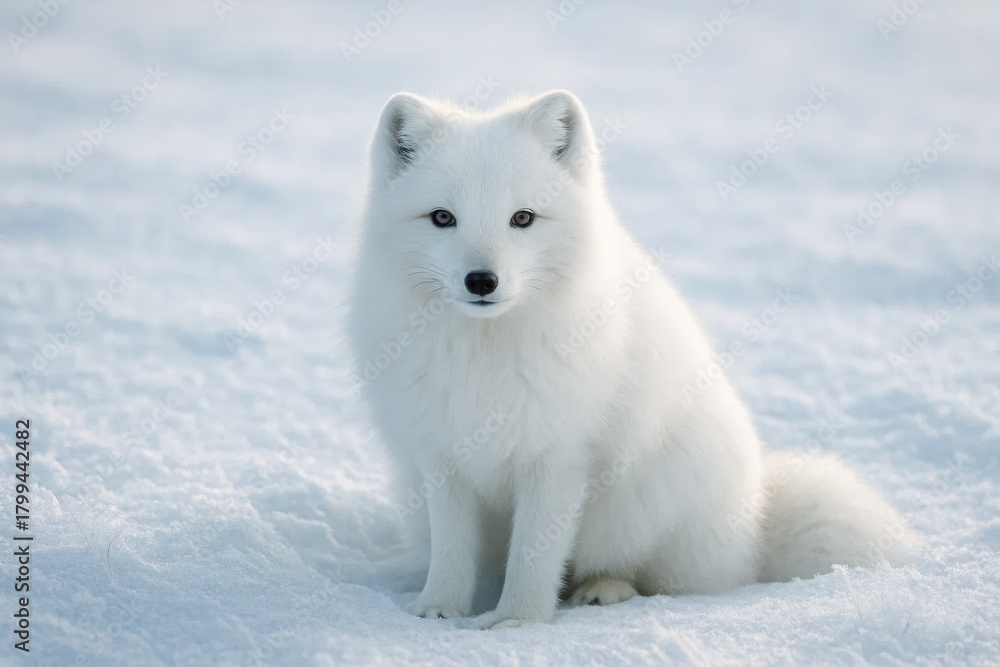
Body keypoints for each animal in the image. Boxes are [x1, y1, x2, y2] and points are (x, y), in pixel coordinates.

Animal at [347, 89, 913, 629]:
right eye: (443, 218)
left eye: (522, 218)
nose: (481, 281)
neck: (485, 352)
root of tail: (757, 515)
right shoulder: (441, 454)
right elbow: (451, 549)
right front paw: (439, 609)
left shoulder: (558, 458)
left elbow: (533, 552)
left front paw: (517, 620)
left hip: (644, 507)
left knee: (648, 575)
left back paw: (603, 589)